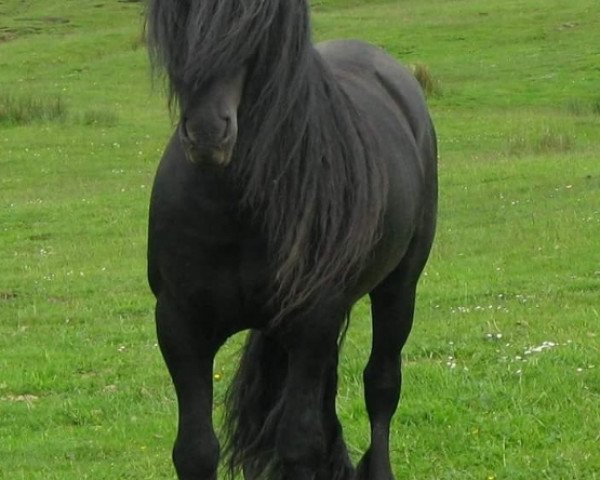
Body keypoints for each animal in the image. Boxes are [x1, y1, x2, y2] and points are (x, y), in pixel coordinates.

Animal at [145, 0, 436, 480]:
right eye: (175, 21)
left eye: (257, 27)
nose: (206, 132)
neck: (236, 211)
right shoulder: (180, 323)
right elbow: (195, 450)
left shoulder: (312, 321)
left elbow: (299, 444)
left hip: (398, 289)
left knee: (381, 385)